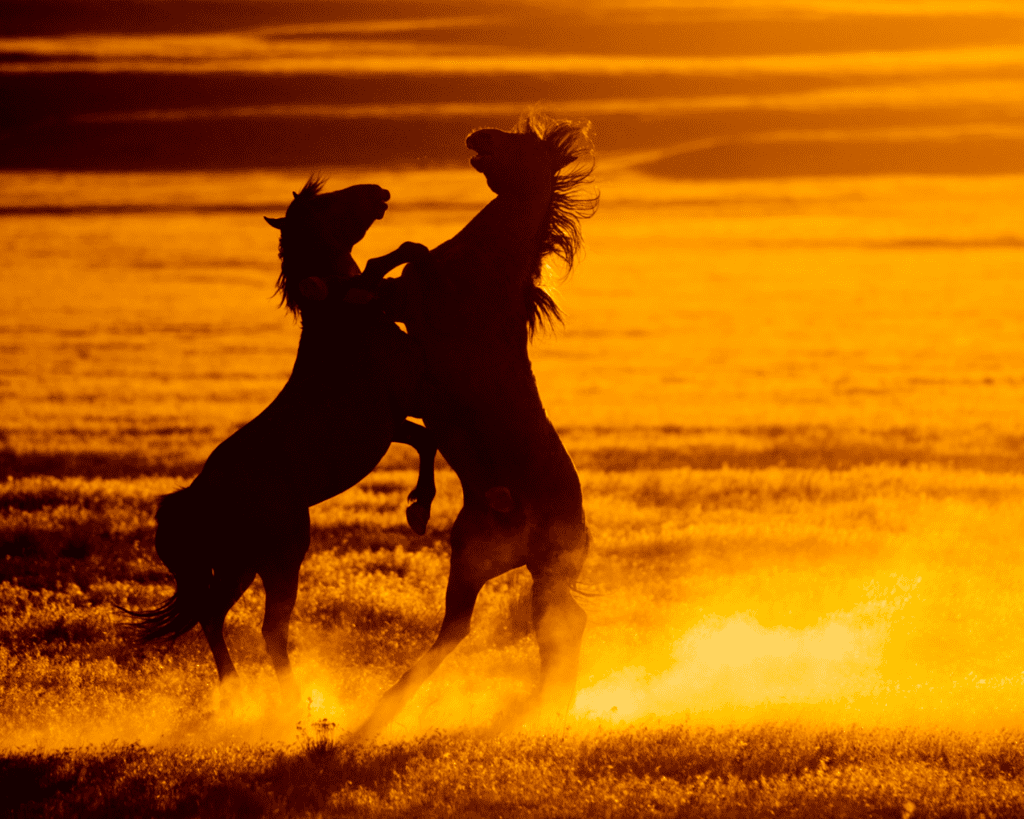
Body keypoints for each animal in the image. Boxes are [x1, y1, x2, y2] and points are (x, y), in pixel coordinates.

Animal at [128, 181, 436, 696]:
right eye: (327, 202)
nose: (378, 190)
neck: (343, 323)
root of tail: (196, 495)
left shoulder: (396, 424)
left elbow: (427, 443)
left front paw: (418, 509)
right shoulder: (409, 403)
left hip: (239, 564)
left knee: (212, 614)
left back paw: (235, 691)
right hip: (282, 557)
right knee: (269, 628)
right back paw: (292, 701)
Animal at [360, 115, 598, 737]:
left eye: (521, 145)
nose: (477, 135)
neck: (485, 271)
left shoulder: (410, 299)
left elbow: (398, 265)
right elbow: (408, 254)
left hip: (514, 567)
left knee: (539, 628)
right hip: (479, 556)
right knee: (525, 627)